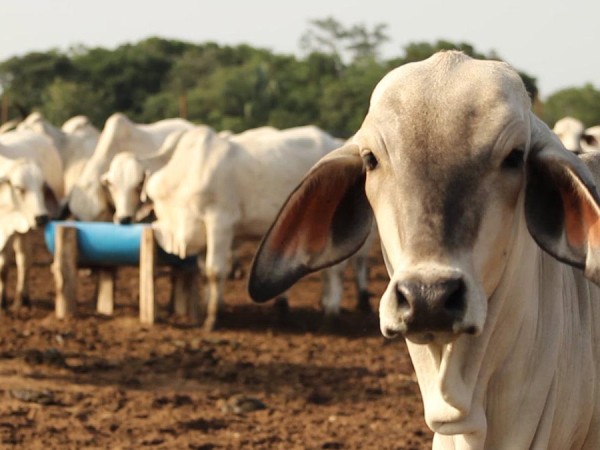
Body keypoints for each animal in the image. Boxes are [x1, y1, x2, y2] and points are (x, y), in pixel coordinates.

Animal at [0, 130, 63, 310]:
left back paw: (23, 299)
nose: (41, 217)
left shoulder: (10, 229)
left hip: (23, 229)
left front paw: (3, 302)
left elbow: (4, 267)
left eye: (43, 187)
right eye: (18, 188)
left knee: (24, 260)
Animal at [148, 125, 372, 332]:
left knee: (336, 271)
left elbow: (214, 272)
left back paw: (329, 317)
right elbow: (205, 273)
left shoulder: (220, 221)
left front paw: (212, 319)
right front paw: (211, 308)